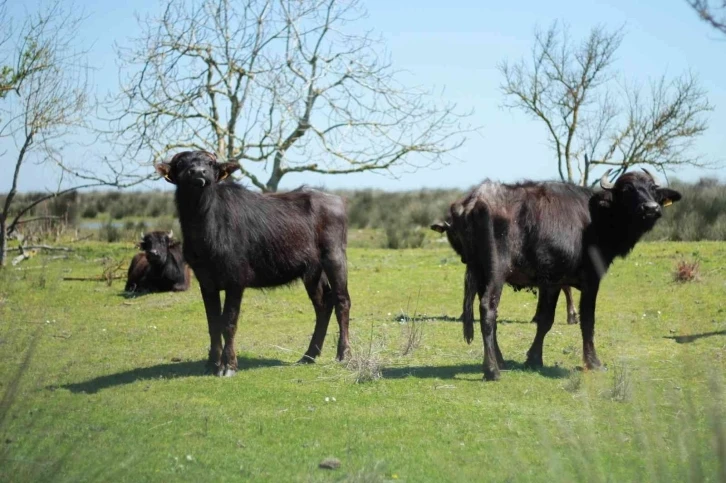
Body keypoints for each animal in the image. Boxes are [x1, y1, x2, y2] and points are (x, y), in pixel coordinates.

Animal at [156, 151, 352, 378]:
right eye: (181, 163)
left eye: (210, 163)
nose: (198, 172)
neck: (206, 226)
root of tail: (337, 200)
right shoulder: (206, 281)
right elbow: (213, 323)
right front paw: (212, 363)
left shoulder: (236, 281)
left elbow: (228, 322)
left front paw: (229, 365)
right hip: (312, 271)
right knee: (323, 305)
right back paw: (309, 355)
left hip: (335, 257)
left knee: (342, 301)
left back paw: (344, 353)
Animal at [440, 171, 684, 382]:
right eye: (627, 190)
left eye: (653, 189)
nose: (651, 208)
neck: (597, 218)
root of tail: (475, 200)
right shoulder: (590, 281)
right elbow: (587, 320)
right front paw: (593, 362)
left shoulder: (552, 283)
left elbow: (545, 320)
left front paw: (534, 359)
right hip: (496, 272)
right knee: (487, 309)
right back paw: (492, 369)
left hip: (479, 272)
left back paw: (499, 360)